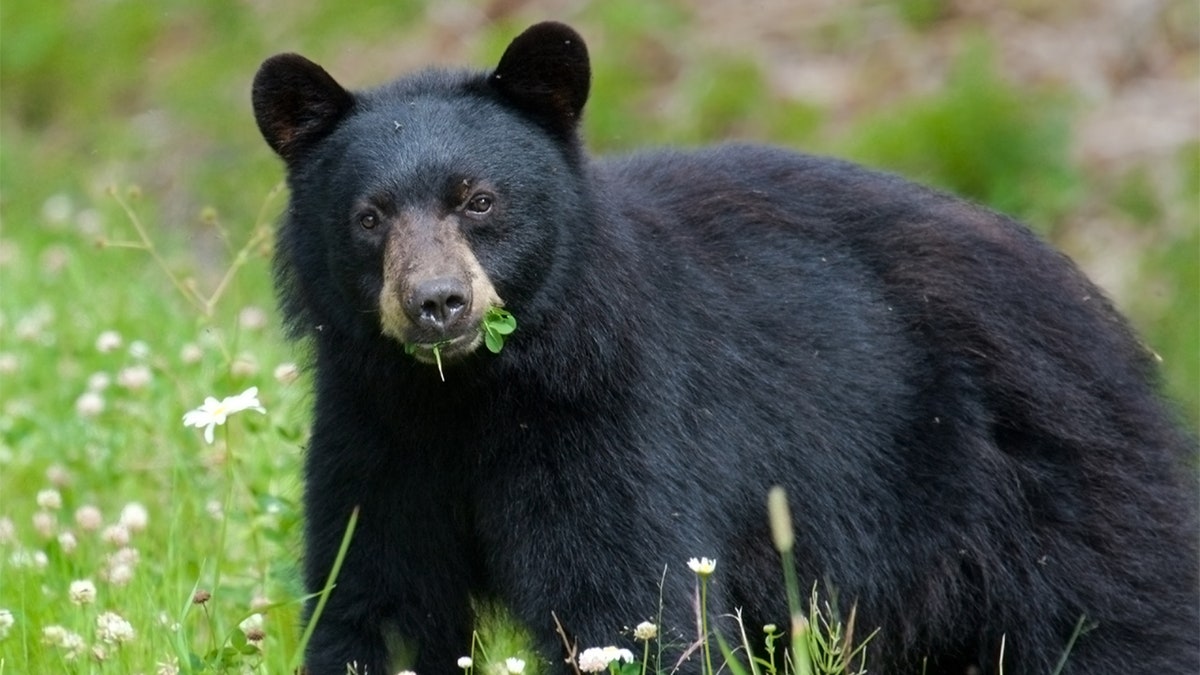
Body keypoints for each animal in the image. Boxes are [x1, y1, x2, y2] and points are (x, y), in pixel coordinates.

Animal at [248, 21, 1195, 672]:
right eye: (369, 217)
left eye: (478, 200)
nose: (437, 304)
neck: (471, 395)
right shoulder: (376, 431)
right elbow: (376, 599)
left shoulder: (614, 419)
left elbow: (627, 601)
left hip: (1053, 488)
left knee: (1118, 619)